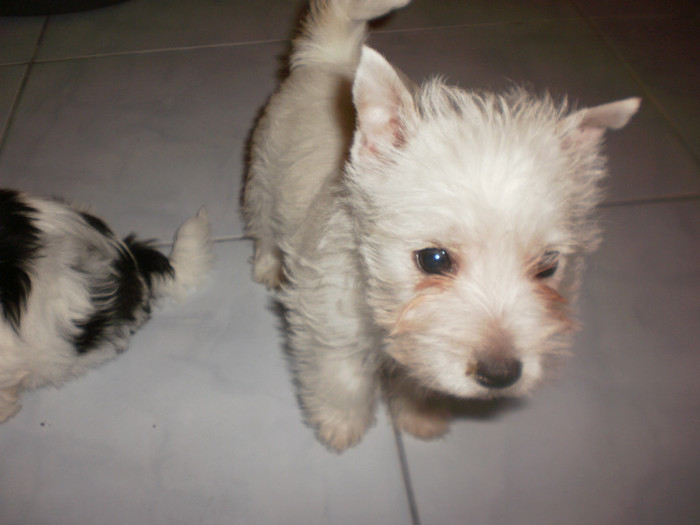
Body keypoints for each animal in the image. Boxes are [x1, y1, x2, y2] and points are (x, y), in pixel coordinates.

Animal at [245, 0, 640, 450]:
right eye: (434, 259)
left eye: (549, 266)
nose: (500, 374)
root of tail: (331, 59)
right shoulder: (330, 326)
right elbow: (342, 378)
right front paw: (340, 424)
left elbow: (420, 380)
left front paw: (422, 417)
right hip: (264, 167)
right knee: (263, 222)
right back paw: (268, 265)